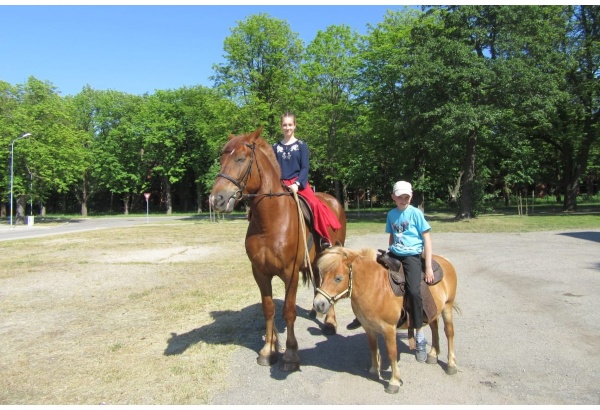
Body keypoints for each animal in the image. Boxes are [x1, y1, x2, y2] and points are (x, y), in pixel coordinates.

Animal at [210, 126, 346, 370]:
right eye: (222, 159)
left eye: (240, 158)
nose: (216, 199)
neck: (270, 221)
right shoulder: (260, 273)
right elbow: (269, 309)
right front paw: (268, 350)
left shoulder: (290, 274)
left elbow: (288, 311)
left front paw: (290, 354)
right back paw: (315, 310)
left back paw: (330, 322)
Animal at [312, 247, 458, 394]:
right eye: (322, 276)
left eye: (338, 278)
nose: (318, 304)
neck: (374, 287)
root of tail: (445, 261)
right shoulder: (368, 327)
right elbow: (373, 347)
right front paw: (374, 370)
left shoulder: (389, 329)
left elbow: (392, 353)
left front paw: (394, 381)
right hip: (434, 311)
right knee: (434, 328)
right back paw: (433, 354)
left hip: (447, 306)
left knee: (449, 333)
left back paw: (451, 364)